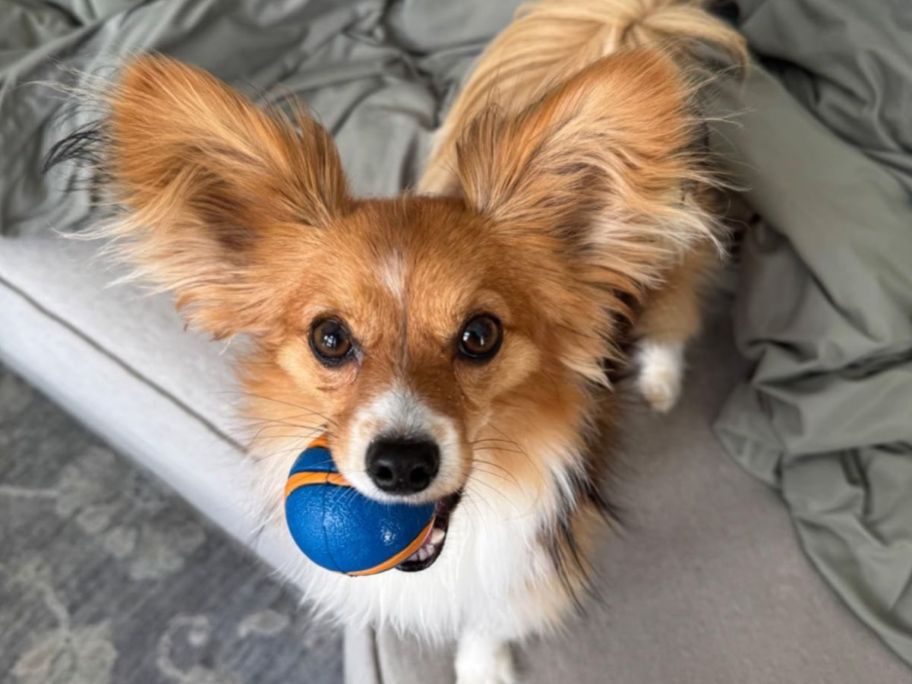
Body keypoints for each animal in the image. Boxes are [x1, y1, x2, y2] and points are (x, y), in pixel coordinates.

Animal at [50, 1, 744, 684]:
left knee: (673, 324)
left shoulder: (527, 569)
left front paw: (483, 669)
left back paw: (660, 381)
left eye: (480, 335)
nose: (402, 465)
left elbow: (489, 620)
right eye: (329, 337)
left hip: (672, 275)